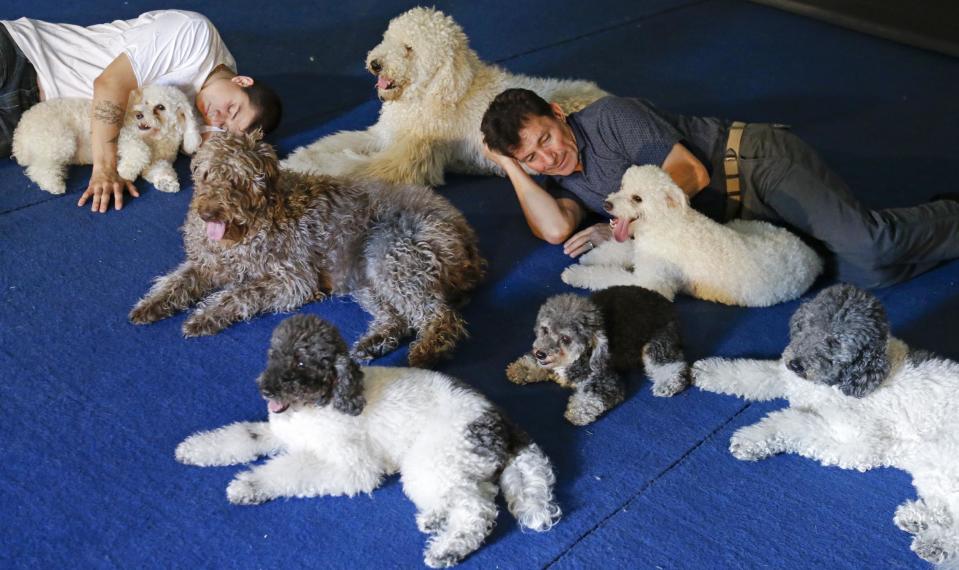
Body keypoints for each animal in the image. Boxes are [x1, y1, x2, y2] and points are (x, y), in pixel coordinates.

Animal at [178, 312, 564, 564]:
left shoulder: (352, 468)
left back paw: (447, 549)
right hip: (453, 467)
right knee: (476, 493)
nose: (266, 388)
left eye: (301, 362)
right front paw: (195, 448)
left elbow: (288, 470)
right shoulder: (280, 432)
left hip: (430, 460)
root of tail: (501, 420)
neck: (322, 403)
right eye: (274, 354)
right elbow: (243, 435)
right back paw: (436, 518)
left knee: (477, 511)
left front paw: (248, 485)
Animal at [564, 164, 824, 306]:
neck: (665, 223)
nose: (606, 204)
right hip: (747, 224)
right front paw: (591, 257)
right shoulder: (643, 247)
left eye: (637, 198)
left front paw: (576, 274)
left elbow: (611, 278)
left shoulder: (651, 284)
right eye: (622, 187)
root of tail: (814, 257)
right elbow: (621, 249)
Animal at [692, 284, 959, 564]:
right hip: (931, 471)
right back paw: (918, 519)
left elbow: (793, 421)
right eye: (808, 325)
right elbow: (750, 373)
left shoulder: (859, 442)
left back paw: (935, 543)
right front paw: (709, 372)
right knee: (944, 512)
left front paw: (752, 438)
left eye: (835, 341)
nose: (796, 364)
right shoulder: (788, 378)